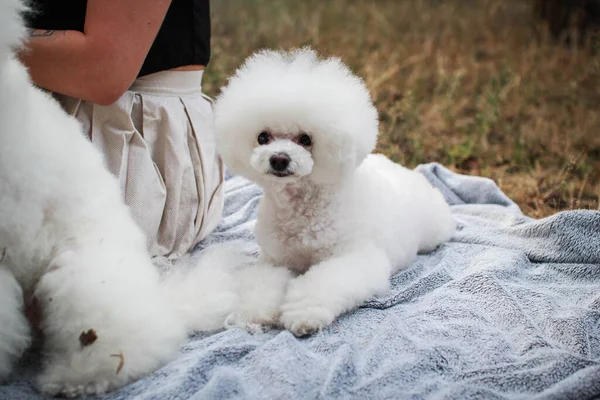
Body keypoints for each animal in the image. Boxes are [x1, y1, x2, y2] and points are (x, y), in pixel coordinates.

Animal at [216, 47, 454, 338]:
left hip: (435, 228)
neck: (301, 208)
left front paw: (303, 313)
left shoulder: (354, 258)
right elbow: (262, 285)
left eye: (306, 139)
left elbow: (323, 282)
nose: (279, 159)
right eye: (263, 137)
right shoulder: (275, 261)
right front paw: (254, 311)